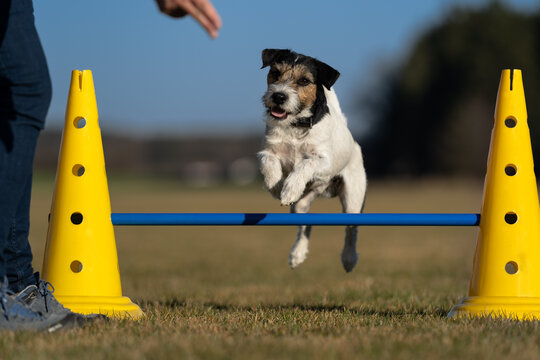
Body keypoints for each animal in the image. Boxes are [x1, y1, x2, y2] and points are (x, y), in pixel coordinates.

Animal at [258, 49, 368, 272]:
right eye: (275, 72)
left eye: (304, 81)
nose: (278, 96)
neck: (295, 125)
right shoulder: (270, 150)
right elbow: (268, 162)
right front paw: (276, 186)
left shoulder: (324, 162)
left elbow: (305, 163)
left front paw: (289, 187)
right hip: (300, 206)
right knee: (306, 226)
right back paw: (297, 254)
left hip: (353, 198)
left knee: (351, 230)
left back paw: (349, 258)